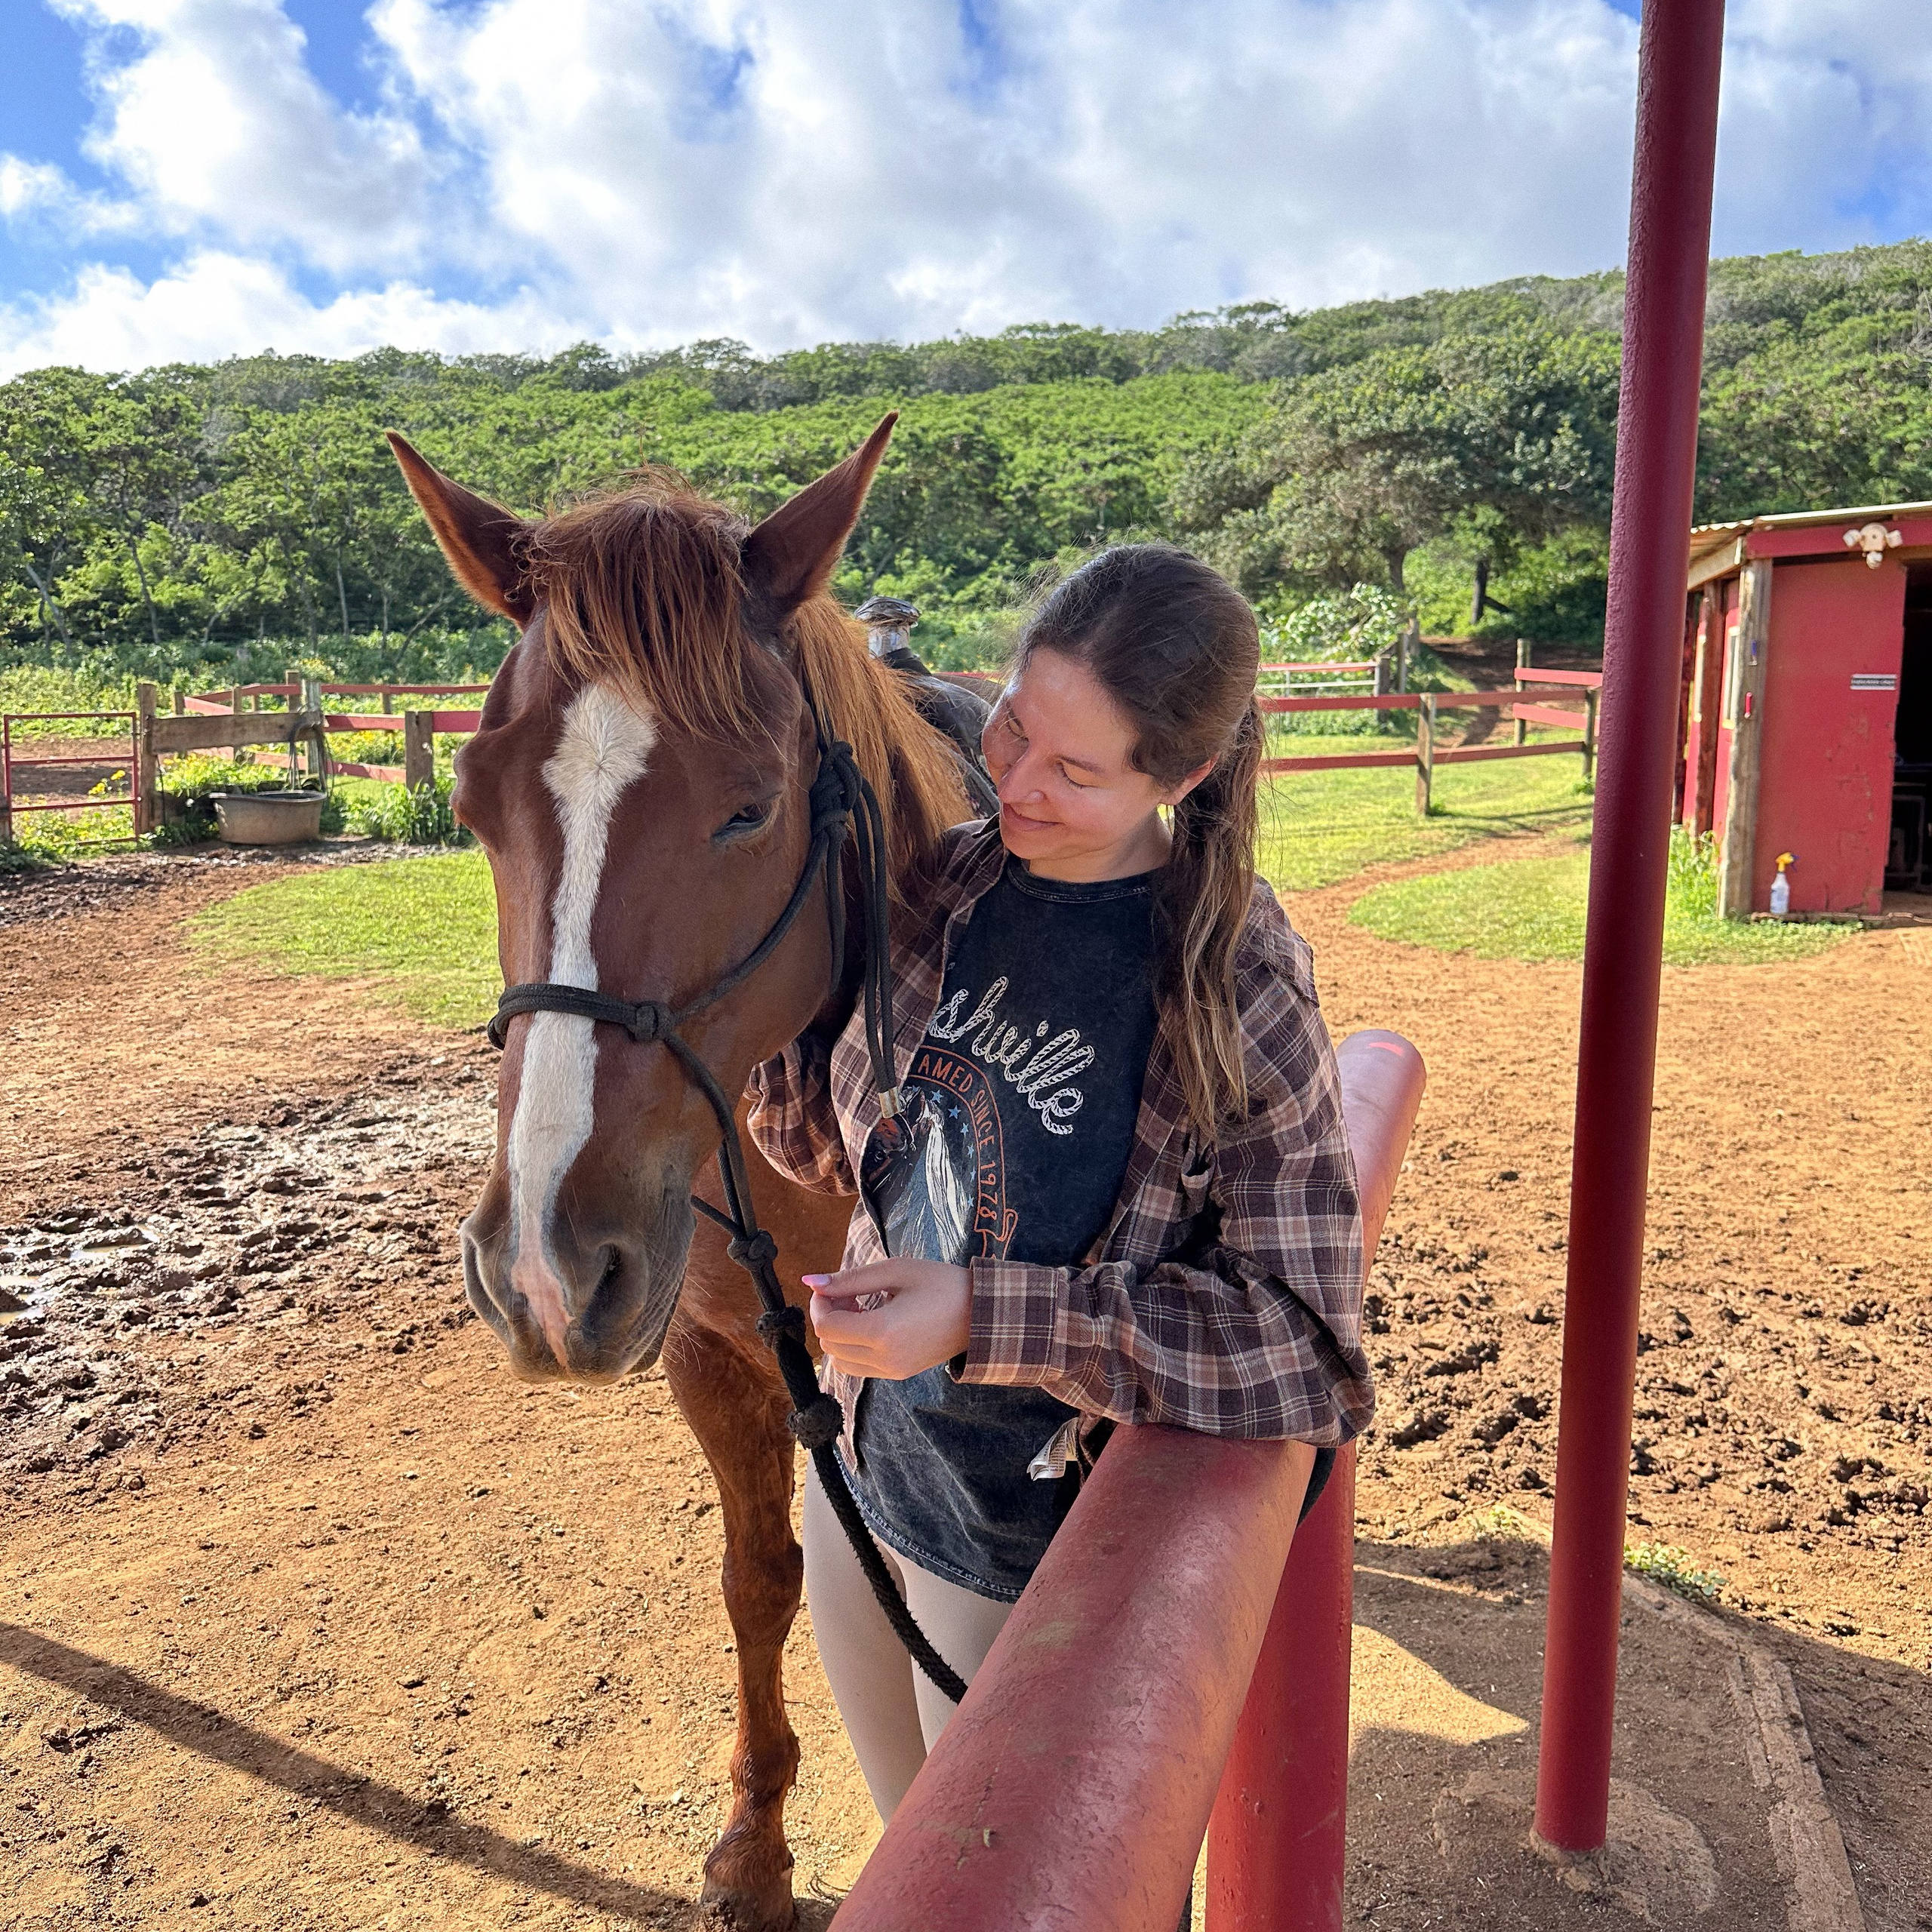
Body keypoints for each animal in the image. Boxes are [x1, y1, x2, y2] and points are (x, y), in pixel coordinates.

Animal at [388, 418, 972, 1931]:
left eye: (750, 811)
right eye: (469, 806)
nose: (541, 1265)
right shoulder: (712, 1352)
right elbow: (759, 1583)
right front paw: (755, 1847)